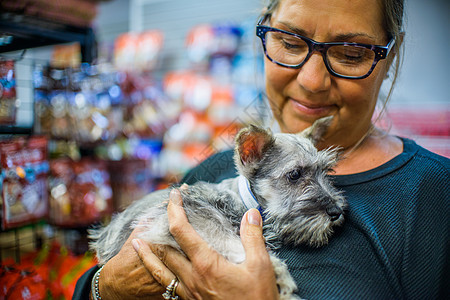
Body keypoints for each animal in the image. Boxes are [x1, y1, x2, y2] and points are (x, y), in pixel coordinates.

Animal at [89, 116, 346, 298]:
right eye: (294, 175)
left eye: (326, 171)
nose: (336, 212)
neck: (243, 203)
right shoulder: (193, 218)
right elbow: (229, 241)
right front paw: (279, 274)